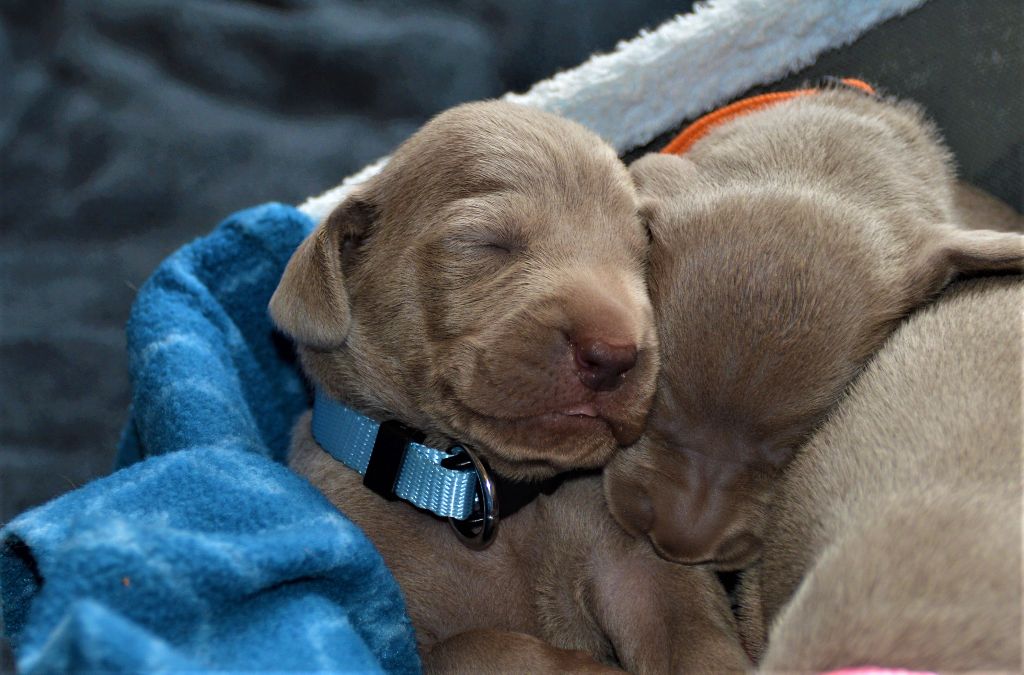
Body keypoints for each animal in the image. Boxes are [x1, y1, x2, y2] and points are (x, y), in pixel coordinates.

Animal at [271, 101, 749, 672]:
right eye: (487, 243)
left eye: (642, 256)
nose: (612, 355)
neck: (479, 494)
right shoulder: (392, 636)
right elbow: (481, 647)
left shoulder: (640, 570)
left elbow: (694, 633)